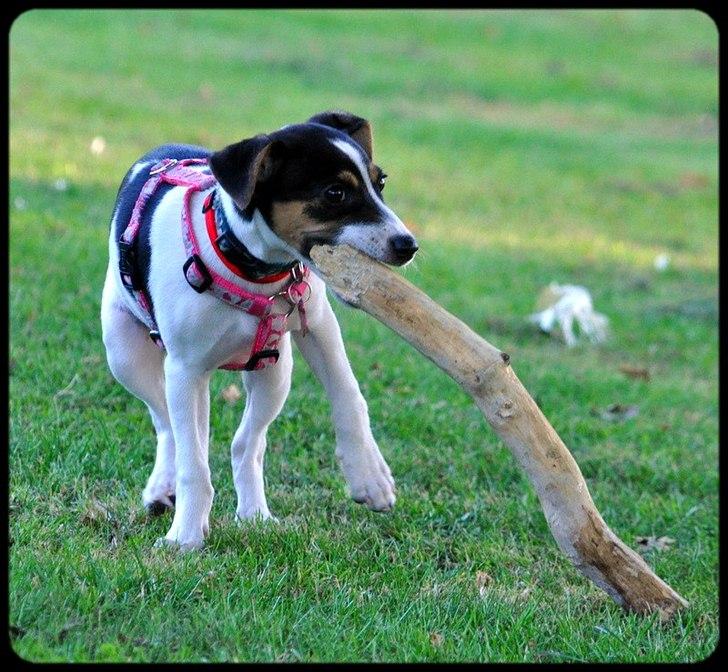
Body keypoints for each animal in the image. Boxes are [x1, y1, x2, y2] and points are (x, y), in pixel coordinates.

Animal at [102, 110, 420, 548]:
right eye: (335, 193)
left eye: (381, 182)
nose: (408, 245)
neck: (252, 268)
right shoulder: (184, 369)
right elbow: (193, 464)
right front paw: (185, 536)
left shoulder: (317, 324)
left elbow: (348, 395)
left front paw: (369, 477)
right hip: (126, 353)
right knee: (168, 426)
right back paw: (166, 490)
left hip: (274, 370)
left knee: (245, 444)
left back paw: (255, 515)